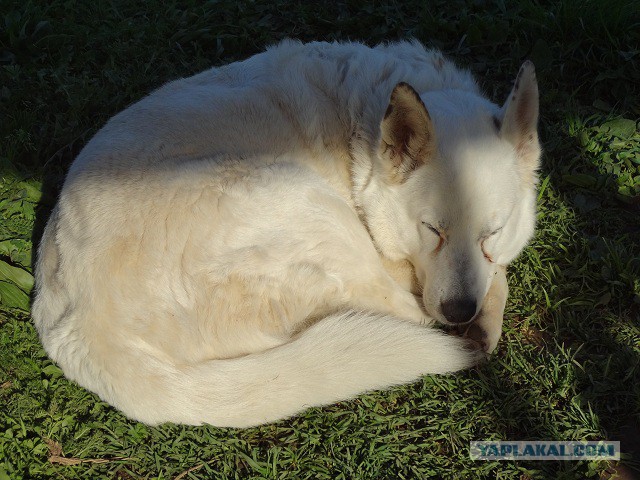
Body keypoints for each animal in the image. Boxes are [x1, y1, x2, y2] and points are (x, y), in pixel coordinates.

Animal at [31, 39, 540, 426]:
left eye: (490, 233)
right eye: (431, 229)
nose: (460, 311)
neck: (362, 135)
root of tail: (84, 330)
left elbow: (495, 271)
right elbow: (472, 286)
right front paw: (480, 319)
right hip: (313, 208)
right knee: (407, 313)